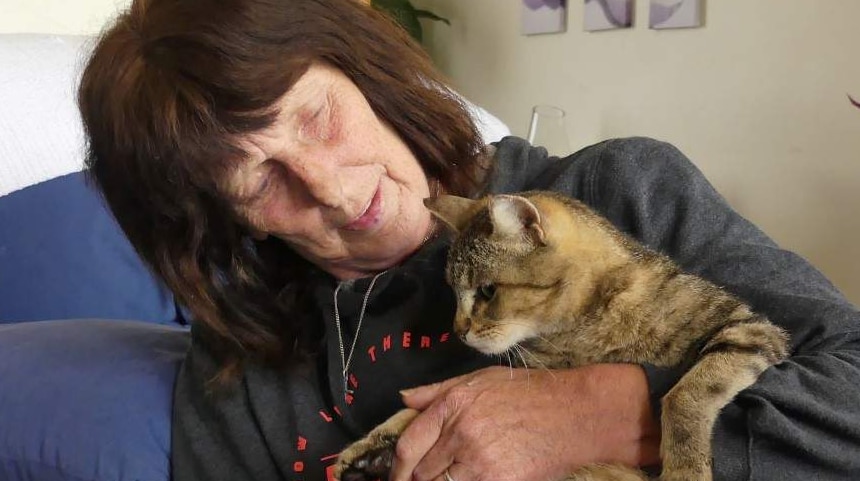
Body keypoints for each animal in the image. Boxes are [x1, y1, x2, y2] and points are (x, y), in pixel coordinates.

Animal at [334, 191, 788, 480]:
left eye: (487, 291)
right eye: (453, 293)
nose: (458, 331)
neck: (576, 332)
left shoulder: (747, 329)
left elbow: (683, 396)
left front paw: (685, 468)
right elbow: (422, 407)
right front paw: (369, 447)